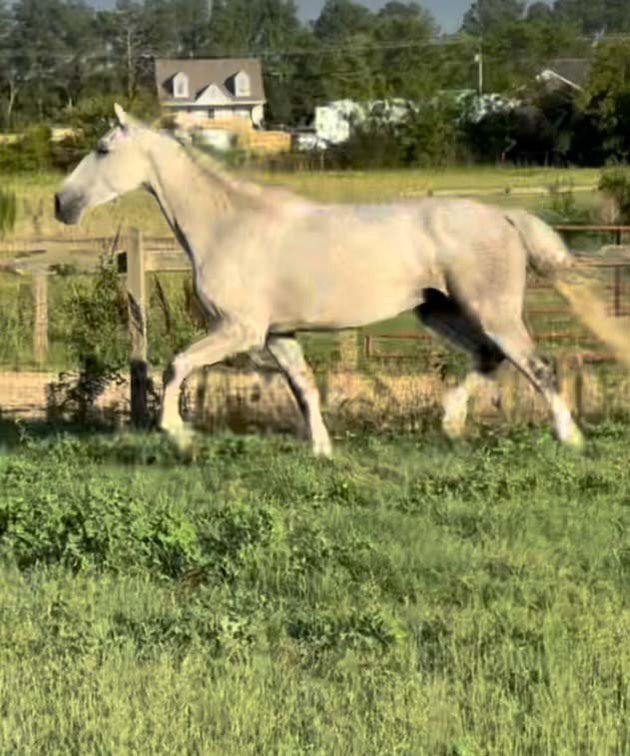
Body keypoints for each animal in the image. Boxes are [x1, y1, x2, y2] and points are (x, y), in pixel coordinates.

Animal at [55, 104, 630, 455]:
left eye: (103, 149)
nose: (62, 203)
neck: (229, 224)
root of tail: (505, 217)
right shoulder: (277, 335)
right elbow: (304, 387)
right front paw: (322, 450)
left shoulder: (239, 330)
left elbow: (175, 365)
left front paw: (176, 433)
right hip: (437, 310)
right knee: (489, 359)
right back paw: (450, 423)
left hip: (492, 310)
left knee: (536, 366)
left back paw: (569, 438)